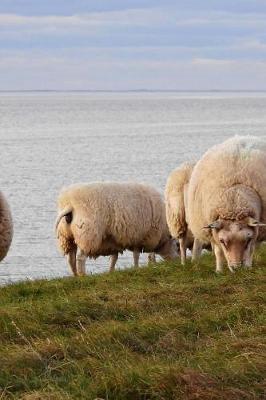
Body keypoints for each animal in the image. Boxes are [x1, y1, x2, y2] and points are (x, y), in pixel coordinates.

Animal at [187, 136, 266, 274]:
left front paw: (248, 267)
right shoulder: (213, 232)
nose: (237, 268)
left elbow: (251, 250)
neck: (234, 200)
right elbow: (218, 252)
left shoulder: (254, 234)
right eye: (223, 241)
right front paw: (219, 271)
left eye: (247, 239)